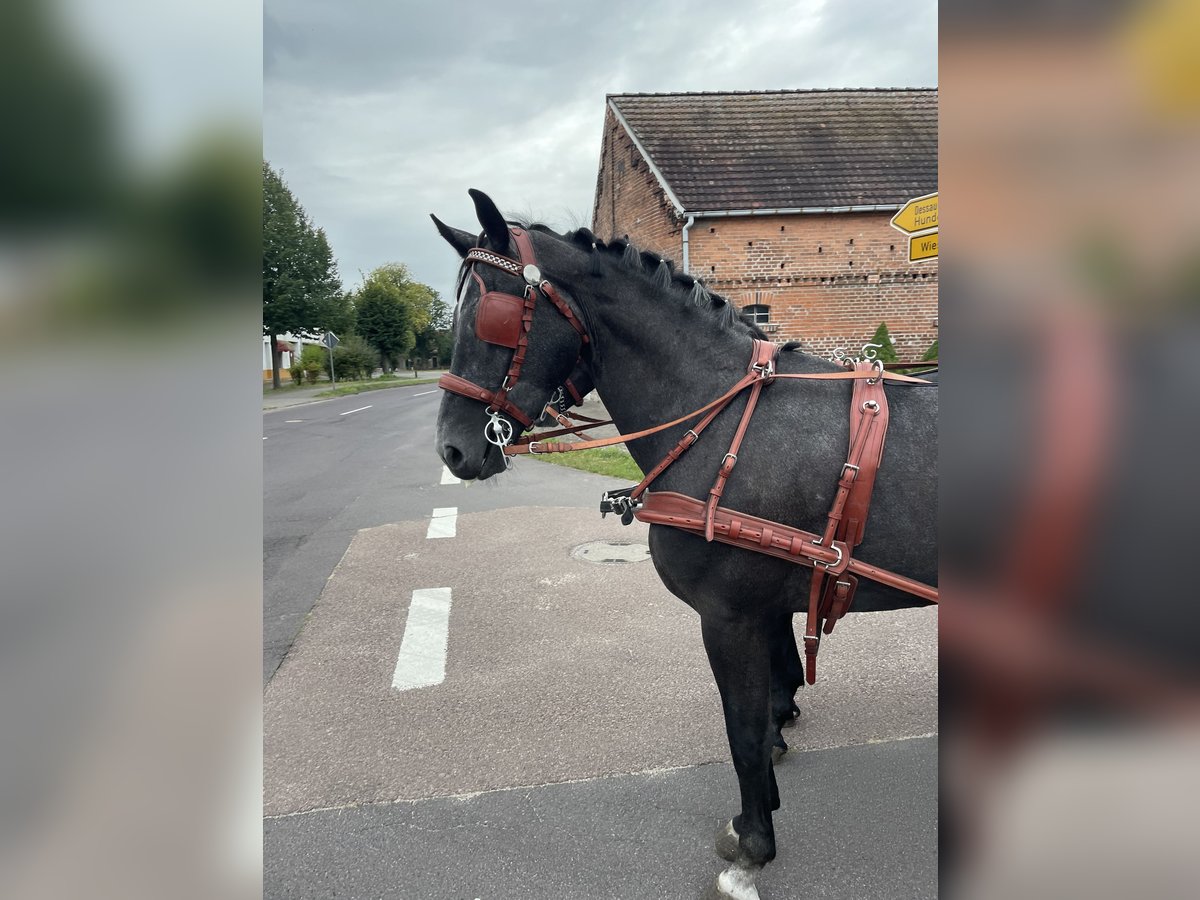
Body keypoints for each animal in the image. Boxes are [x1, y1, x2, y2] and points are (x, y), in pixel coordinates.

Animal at [432, 190, 936, 900]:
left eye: (491, 317)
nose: (453, 450)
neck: (718, 414)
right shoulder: (764, 607)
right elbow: (771, 697)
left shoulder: (731, 616)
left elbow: (744, 730)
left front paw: (752, 845)